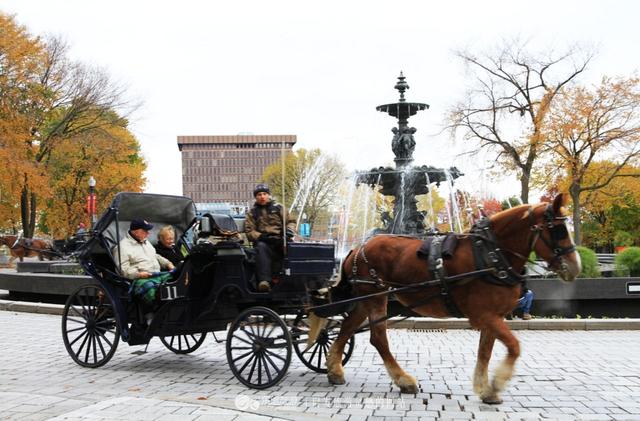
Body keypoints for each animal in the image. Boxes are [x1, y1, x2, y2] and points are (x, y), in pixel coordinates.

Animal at [308, 193, 584, 404]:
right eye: (559, 230)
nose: (575, 267)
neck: (490, 255)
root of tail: (357, 248)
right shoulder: (484, 316)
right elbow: (514, 346)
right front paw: (497, 383)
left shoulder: (493, 316)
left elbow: (485, 351)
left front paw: (485, 389)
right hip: (376, 297)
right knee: (378, 338)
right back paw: (403, 380)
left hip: (367, 298)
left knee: (346, 328)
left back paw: (334, 369)